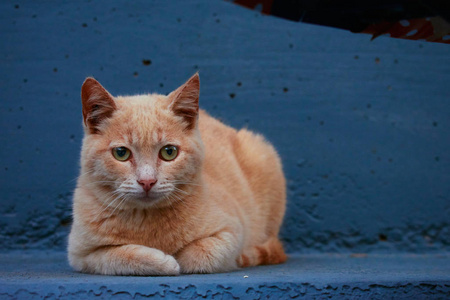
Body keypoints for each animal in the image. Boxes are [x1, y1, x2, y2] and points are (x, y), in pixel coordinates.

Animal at [68, 72, 286, 274]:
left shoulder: (232, 231)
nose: (147, 181)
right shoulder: (80, 254)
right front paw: (162, 261)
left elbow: (200, 254)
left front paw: (178, 258)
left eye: (169, 152)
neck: (147, 220)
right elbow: (117, 256)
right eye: (121, 153)